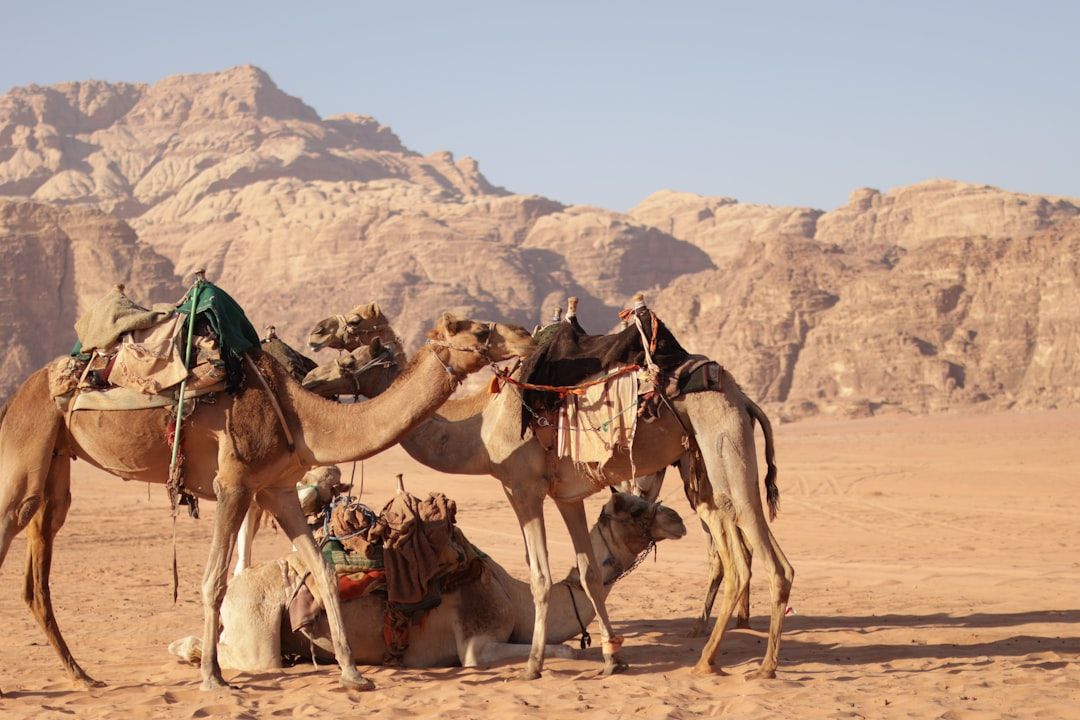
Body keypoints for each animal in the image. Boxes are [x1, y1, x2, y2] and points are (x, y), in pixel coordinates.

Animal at [0, 311, 535, 694]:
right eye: (479, 329)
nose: (526, 335)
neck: (300, 415)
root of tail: (20, 391)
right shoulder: (234, 481)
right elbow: (215, 579)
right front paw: (214, 679)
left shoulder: (276, 489)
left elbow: (321, 571)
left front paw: (354, 675)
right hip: (28, 446)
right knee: (14, 519)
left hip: (58, 464)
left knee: (41, 555)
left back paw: (82, 675)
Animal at [169, 492, 687, 670]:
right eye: (634, 508)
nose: (678, 519)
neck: (513, 596)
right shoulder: (476, 643)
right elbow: (563, 651)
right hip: (257, 623)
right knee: (250, 658)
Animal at [306, 306, 794, 680]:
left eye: (356, 347)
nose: (312, 348)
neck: (480, 426)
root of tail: (741, 395)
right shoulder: (568, 495)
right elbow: (589, 573)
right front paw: (612, 659)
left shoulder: (521, 487)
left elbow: (540, 576)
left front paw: (534, 665)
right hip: (706, 464)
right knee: (754, 550)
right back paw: (718, 657)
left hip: (723, 441)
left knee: (756, 556)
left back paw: (756, 665)